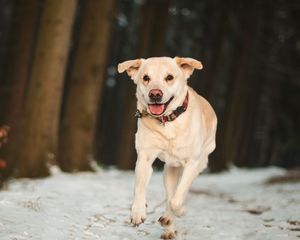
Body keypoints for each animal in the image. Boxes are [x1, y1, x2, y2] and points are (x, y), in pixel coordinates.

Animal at [118, 57, 218, 239]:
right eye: (146, 78)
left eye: (169, 77)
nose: (155, 94)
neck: (167, 121)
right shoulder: (144, 159)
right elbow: (139, 188)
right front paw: (137, 212)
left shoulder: (192, 163)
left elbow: (177, 200)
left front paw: (181, 211)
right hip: (169, 170)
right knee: (170, 193)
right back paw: (168, 225)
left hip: (200, 163)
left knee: (177, 195)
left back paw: (169, 217)